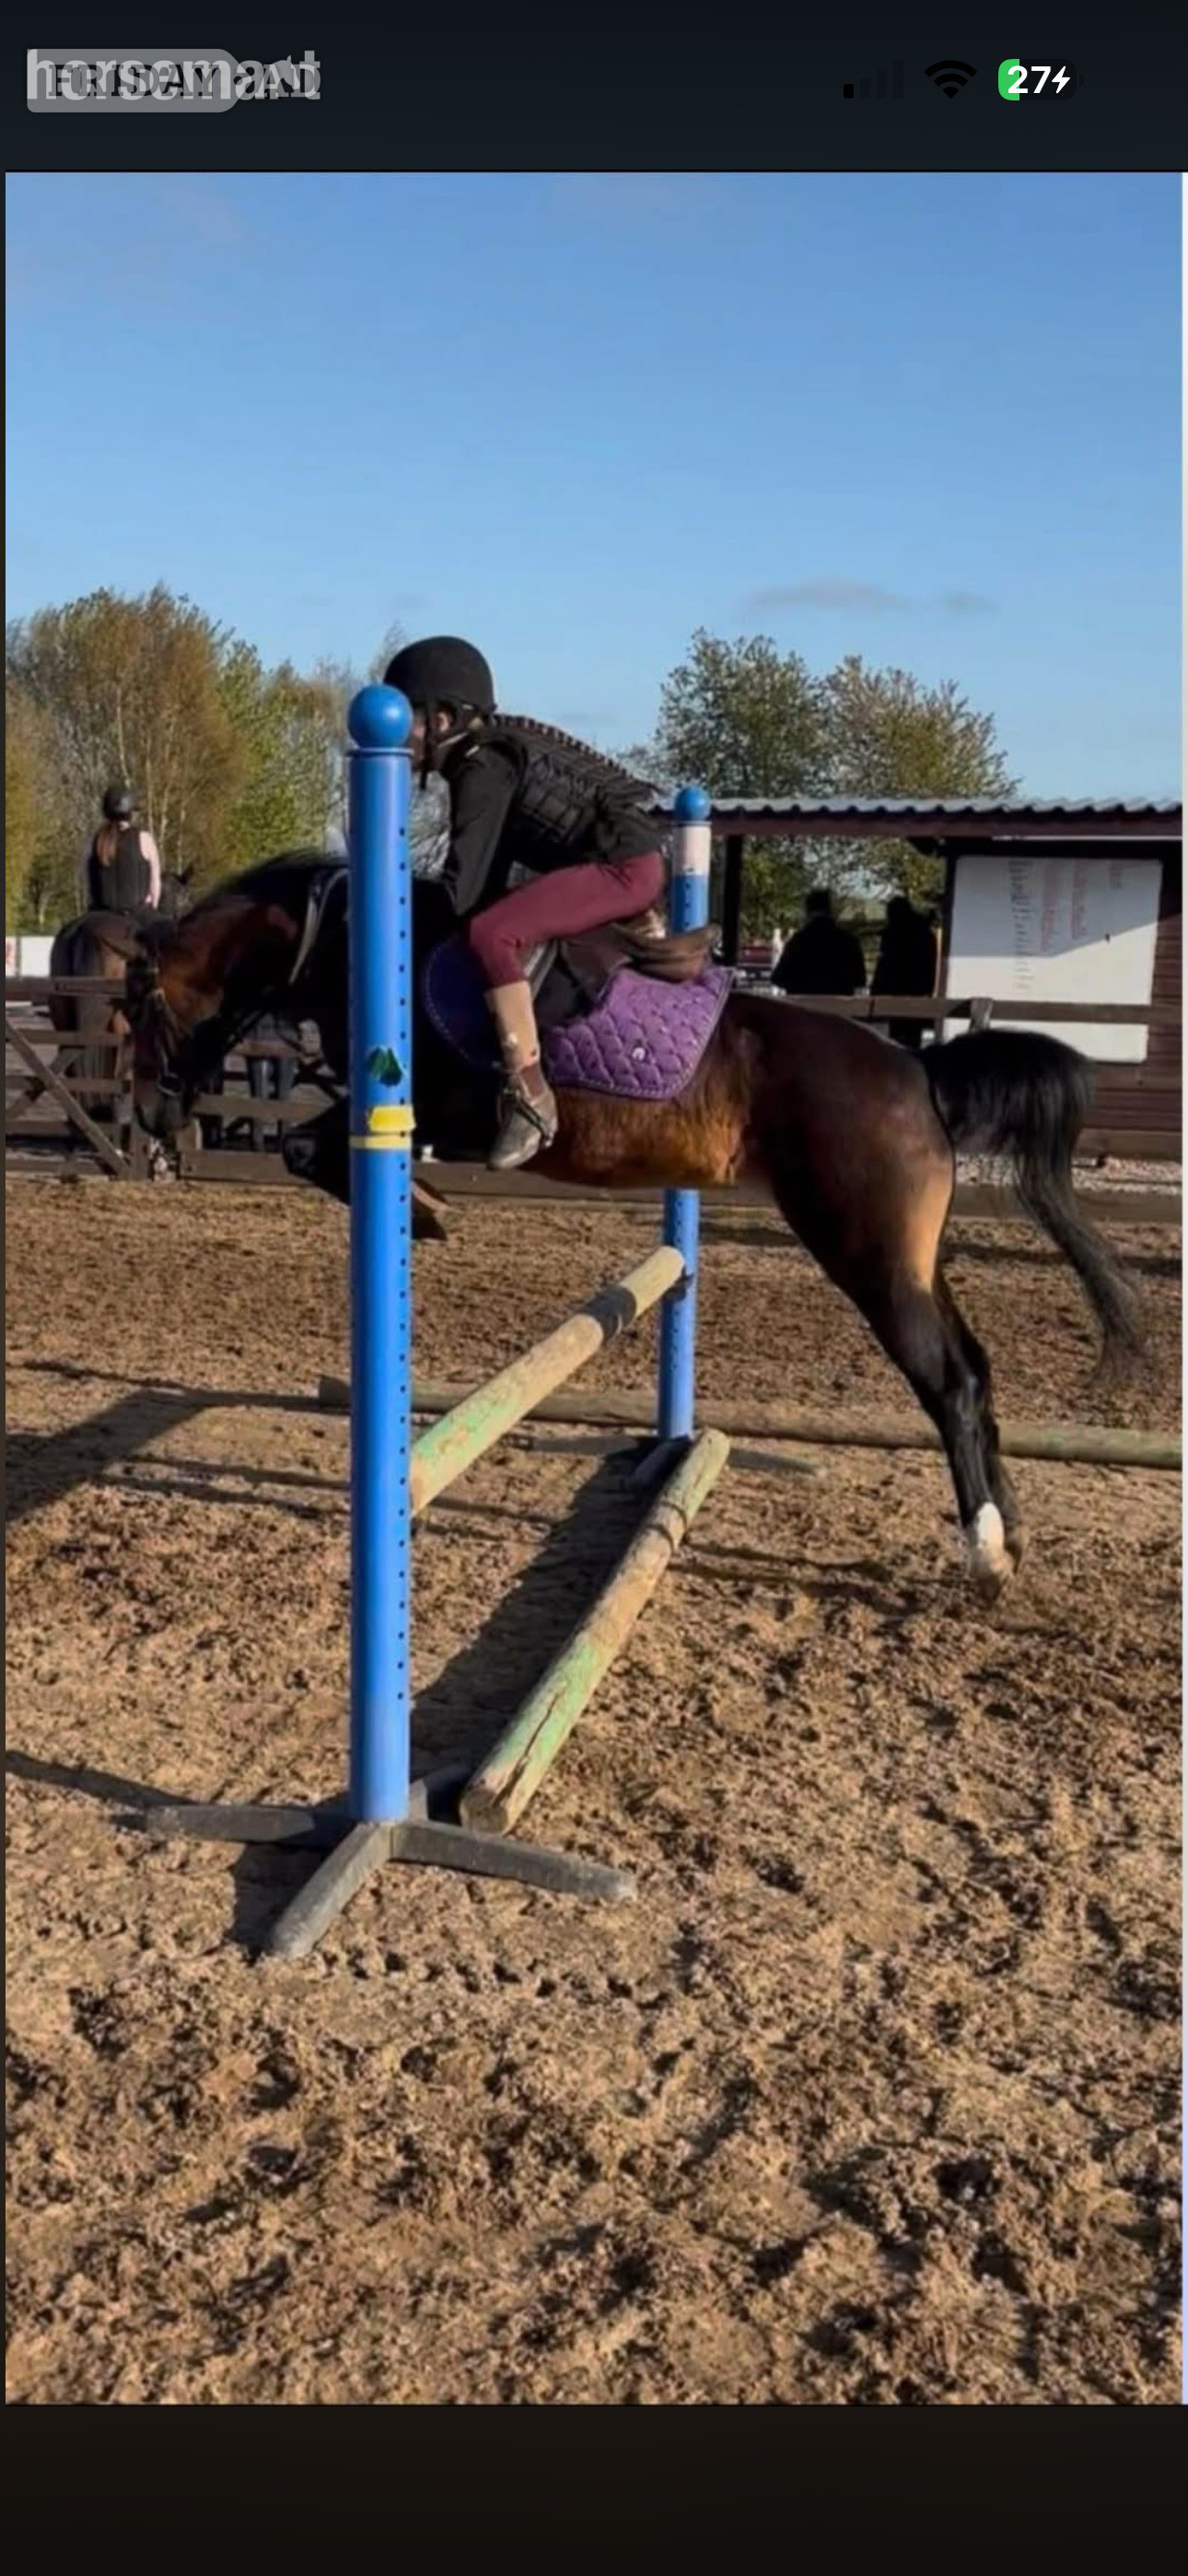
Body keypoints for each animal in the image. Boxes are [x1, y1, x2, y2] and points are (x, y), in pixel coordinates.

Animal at [122, 850, 1143, 1603]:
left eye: (137, 1011)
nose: (148, 1122)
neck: (344, 938)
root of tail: (919, 1075)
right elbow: (310, 1150)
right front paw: (429, 1209)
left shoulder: (435, 1102)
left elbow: (310, 1147)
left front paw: (425, 1210)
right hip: (910, 1259)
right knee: (975, 1368)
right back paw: (1010, 1535)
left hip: (868, 1255)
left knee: (949, 1383)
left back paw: (983, 1554)